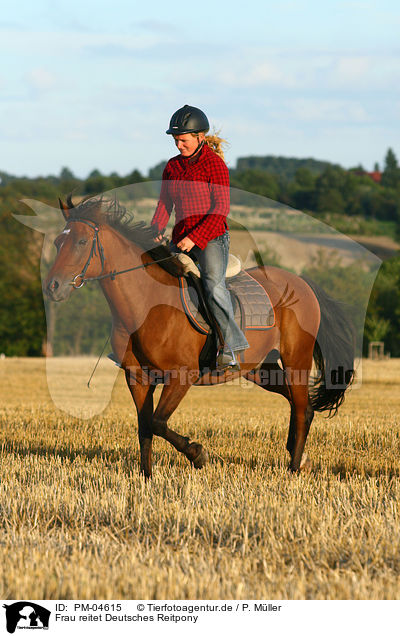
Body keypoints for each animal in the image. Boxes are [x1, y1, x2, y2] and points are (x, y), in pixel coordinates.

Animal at [45, 198, 354, 476]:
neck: (146, 303)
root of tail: (302, 283)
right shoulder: (137, 378)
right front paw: (146, 477)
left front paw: (198, 454)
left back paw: (293, 468)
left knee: (302, 407)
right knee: (301, 404)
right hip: (260, 369)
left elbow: (158, 422)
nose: (53, 287)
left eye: (82, 242)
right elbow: (145, 427)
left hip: (296, 359)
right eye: (58, 243)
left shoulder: (181, 376)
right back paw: (299, 459)